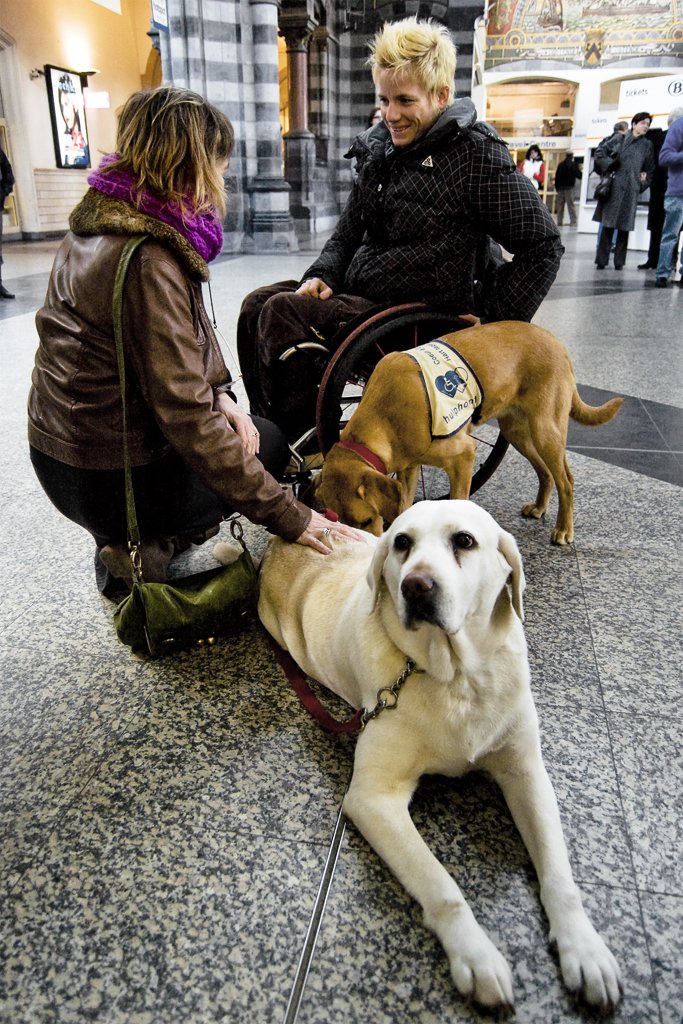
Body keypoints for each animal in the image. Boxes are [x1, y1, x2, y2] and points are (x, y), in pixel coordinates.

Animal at [258, 499, 626, 1011]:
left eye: (464, 541)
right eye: (402, 543)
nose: (416, 585)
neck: (456, 677)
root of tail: (277, 543)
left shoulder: (527, 772)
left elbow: (559, 874)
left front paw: (586, 950)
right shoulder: (373, 797)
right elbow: (441, 884)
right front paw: (477, 957)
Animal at [315, 319, 626, 544]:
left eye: (366, 521)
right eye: (339, 521)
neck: (384, 416)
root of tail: (557, 342)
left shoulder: (464, 455)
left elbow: (459, 501)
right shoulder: (409, 469)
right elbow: (404, 505)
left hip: (545, 430)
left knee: (567, 480)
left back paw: (563, 529)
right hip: (517, 432)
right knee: (546, 472)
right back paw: (539, 507)